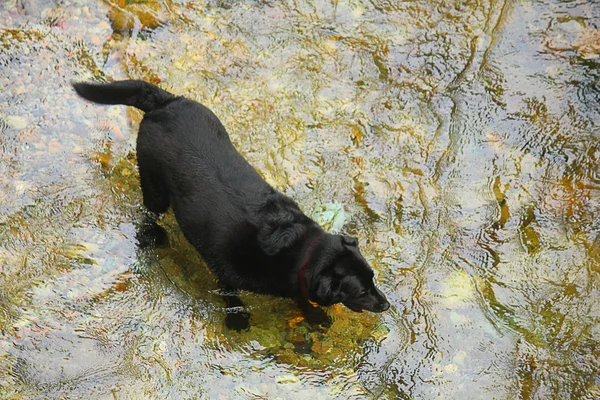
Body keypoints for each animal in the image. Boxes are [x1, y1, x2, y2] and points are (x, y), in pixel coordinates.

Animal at [74, 79, 390, 330]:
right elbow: (232, 297)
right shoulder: (226, 272)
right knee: (148, 214)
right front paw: (238, 321)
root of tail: (166, 102)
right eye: (361, 292)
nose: (386, 304)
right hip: (155, 186)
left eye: (373, 278)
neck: (299, 251)